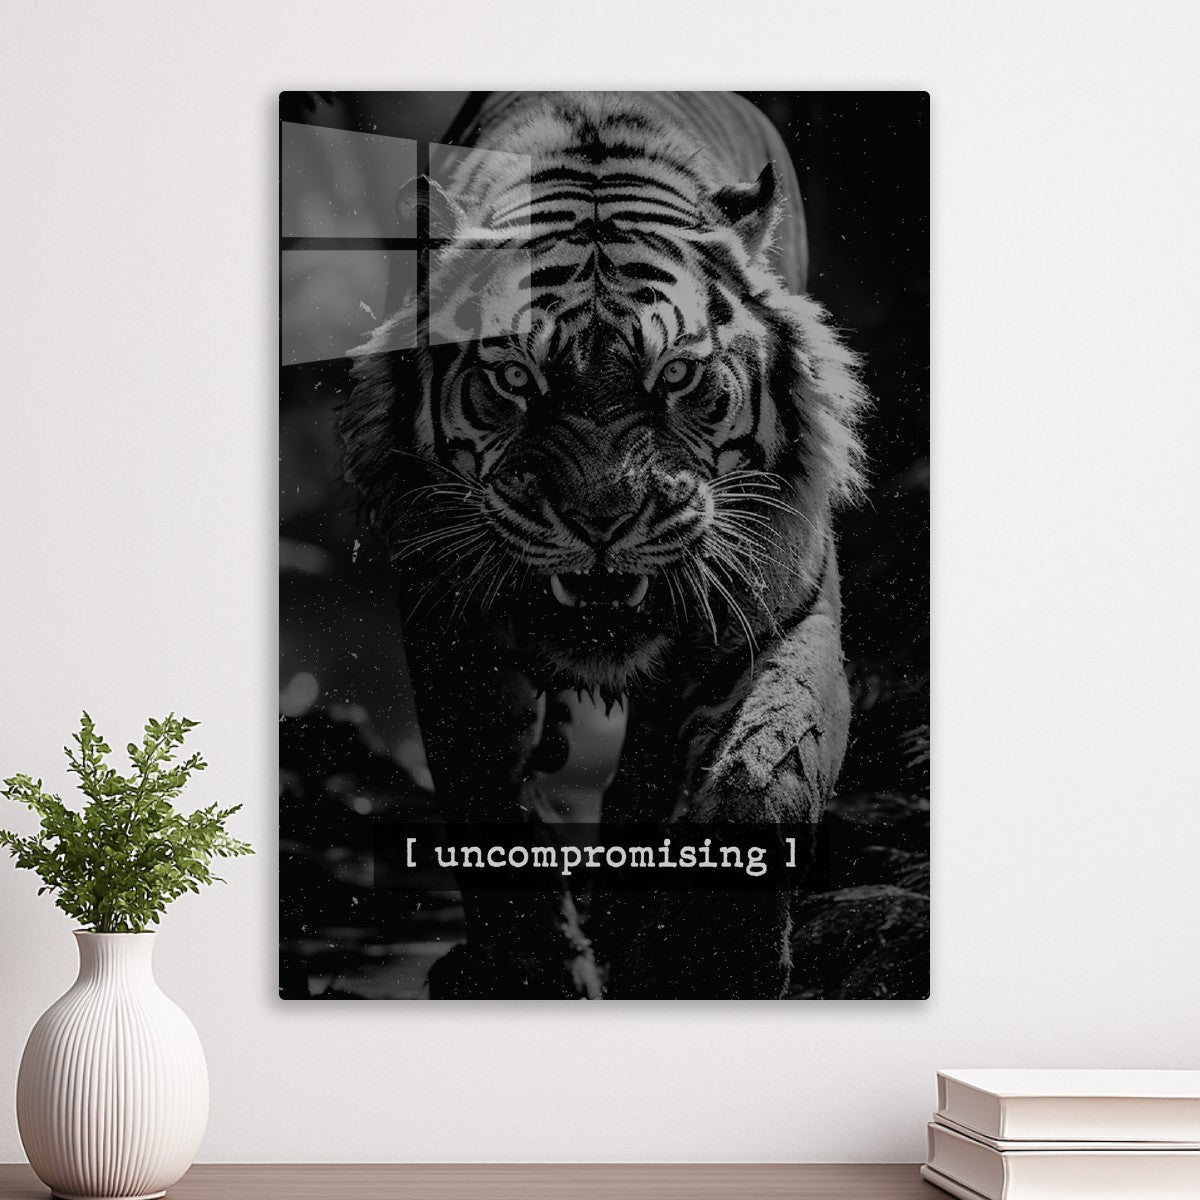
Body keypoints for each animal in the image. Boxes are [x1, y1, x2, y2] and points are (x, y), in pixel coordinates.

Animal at [339, 91, 868, 998]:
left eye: (679, 376)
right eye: (515, 379)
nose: (601, 521)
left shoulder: (781, 613)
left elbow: (762, 775)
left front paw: (719, 958)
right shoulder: (449, 628)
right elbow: (487, 800)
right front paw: (532, 973)